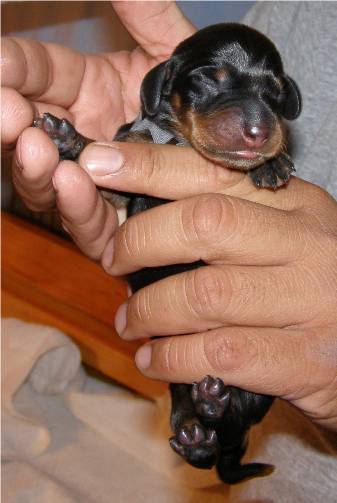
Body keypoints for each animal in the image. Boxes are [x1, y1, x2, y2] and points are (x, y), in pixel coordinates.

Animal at [34, 23, 300, 484]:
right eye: (209, 78)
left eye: (277, 94)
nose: (258, 133)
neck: (180, 143)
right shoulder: (121, 182)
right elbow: (120, 150)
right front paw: (69, 138)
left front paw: (272, 162)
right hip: (183, 399)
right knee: (202, 444)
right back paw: (202, 423)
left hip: (258, 390)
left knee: (231, 424)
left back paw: (214, 408)